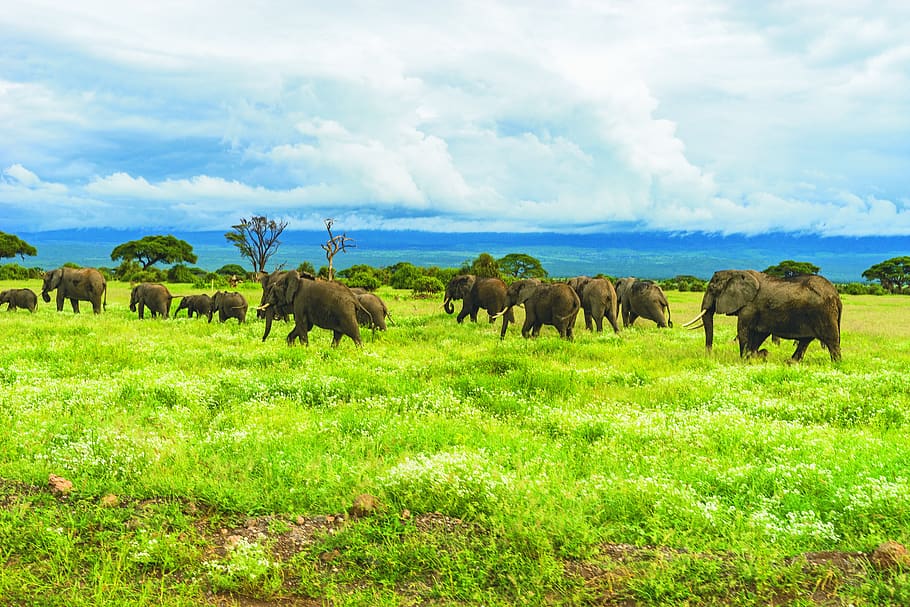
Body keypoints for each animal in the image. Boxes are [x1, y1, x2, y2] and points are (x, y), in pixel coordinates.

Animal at [682, 269, 842, 363]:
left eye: (712, 288)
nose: (709, 355)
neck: (736, 272)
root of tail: (836, 296)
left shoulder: (750, 307)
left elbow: (744, 331)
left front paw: (746, 360)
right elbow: (759, 333)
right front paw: (759, 355)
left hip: (823, 312)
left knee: (831, 340)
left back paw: (836, 364)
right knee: (806, 340)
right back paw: (791, 362)